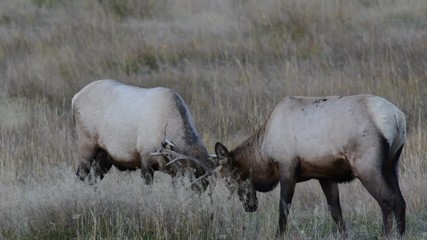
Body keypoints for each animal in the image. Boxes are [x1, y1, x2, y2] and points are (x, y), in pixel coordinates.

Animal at [73, 80, 216, 191]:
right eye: (193, 179)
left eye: (208, 184)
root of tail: (74, 98)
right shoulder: (146, 159)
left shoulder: (174, 172)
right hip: (86, 145)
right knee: (80, 176)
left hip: (105, 156)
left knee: (93, 180)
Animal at [216, 94, 406, 237]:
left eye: (228, 180)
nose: (249, 206)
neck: (264, 154)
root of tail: (398, 118)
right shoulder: (325, 175)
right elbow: (336, 211)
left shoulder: (287, 167)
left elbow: (283, 208)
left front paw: (278, 235)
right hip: (391, 165)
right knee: (400, 200)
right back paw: (401, 234)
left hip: (366, 166)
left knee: (388, 200)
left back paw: (386, 235)